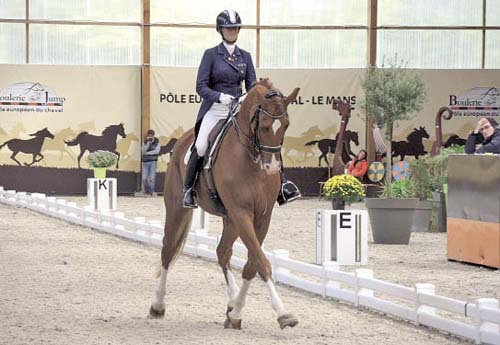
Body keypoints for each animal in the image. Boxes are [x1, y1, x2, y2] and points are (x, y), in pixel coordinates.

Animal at [146, 79, 298, 330]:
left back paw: (232, 303)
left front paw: (236, 314)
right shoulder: (241, 213)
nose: (272, 168)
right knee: (168, 249)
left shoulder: (261, 216)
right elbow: (262, 262)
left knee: (222, 252)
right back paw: (157, 305)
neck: (250, 157)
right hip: (178, 208)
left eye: (286, 125)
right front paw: (284, 314)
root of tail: (184, 139)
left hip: (229, 219)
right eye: (265, 126)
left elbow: (252, 263)